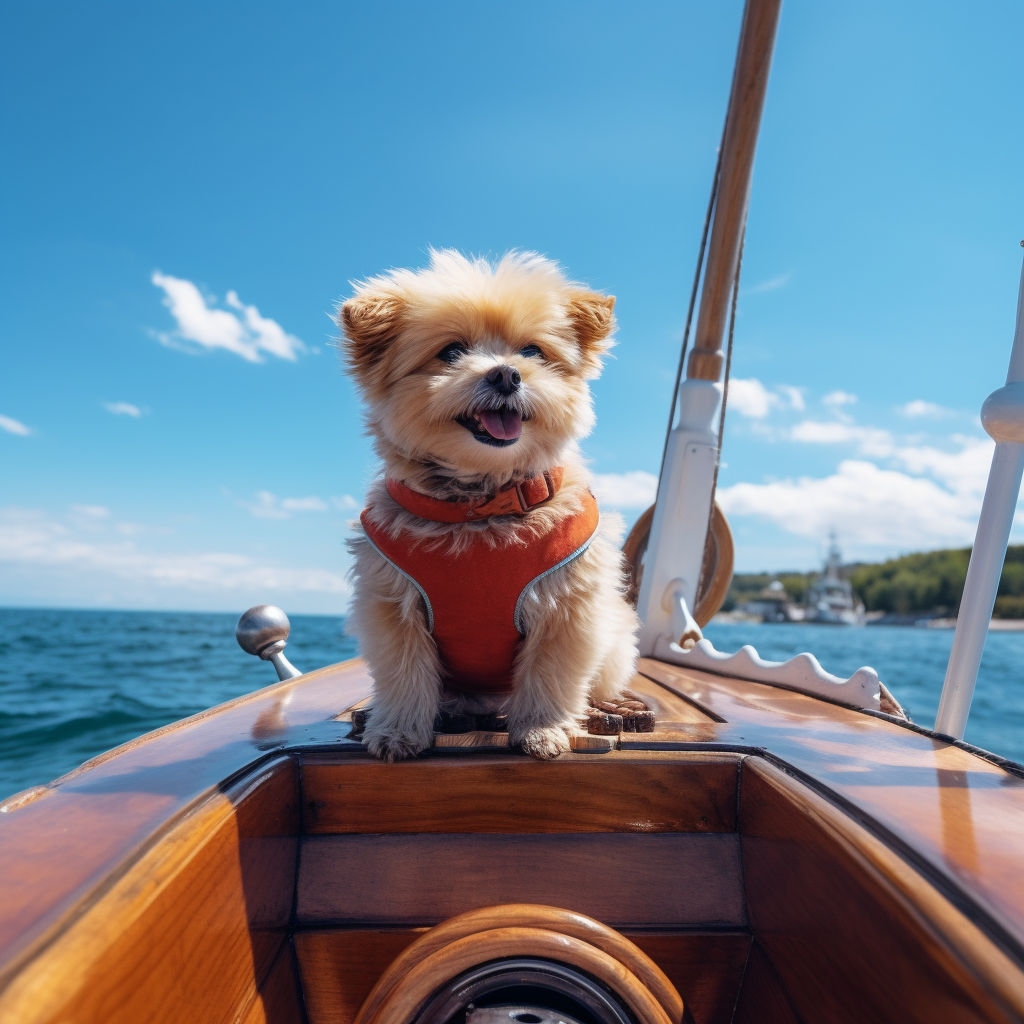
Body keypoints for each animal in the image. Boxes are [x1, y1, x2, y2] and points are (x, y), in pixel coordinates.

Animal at [339, 247, 634, 761]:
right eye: (451, 351)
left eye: (532, 352)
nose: (506, 373)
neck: (480, 505)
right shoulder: (392, 605)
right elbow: (404, 676)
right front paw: (398, 732)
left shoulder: (567, 610)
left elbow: (550, 675)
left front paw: (542, 729)